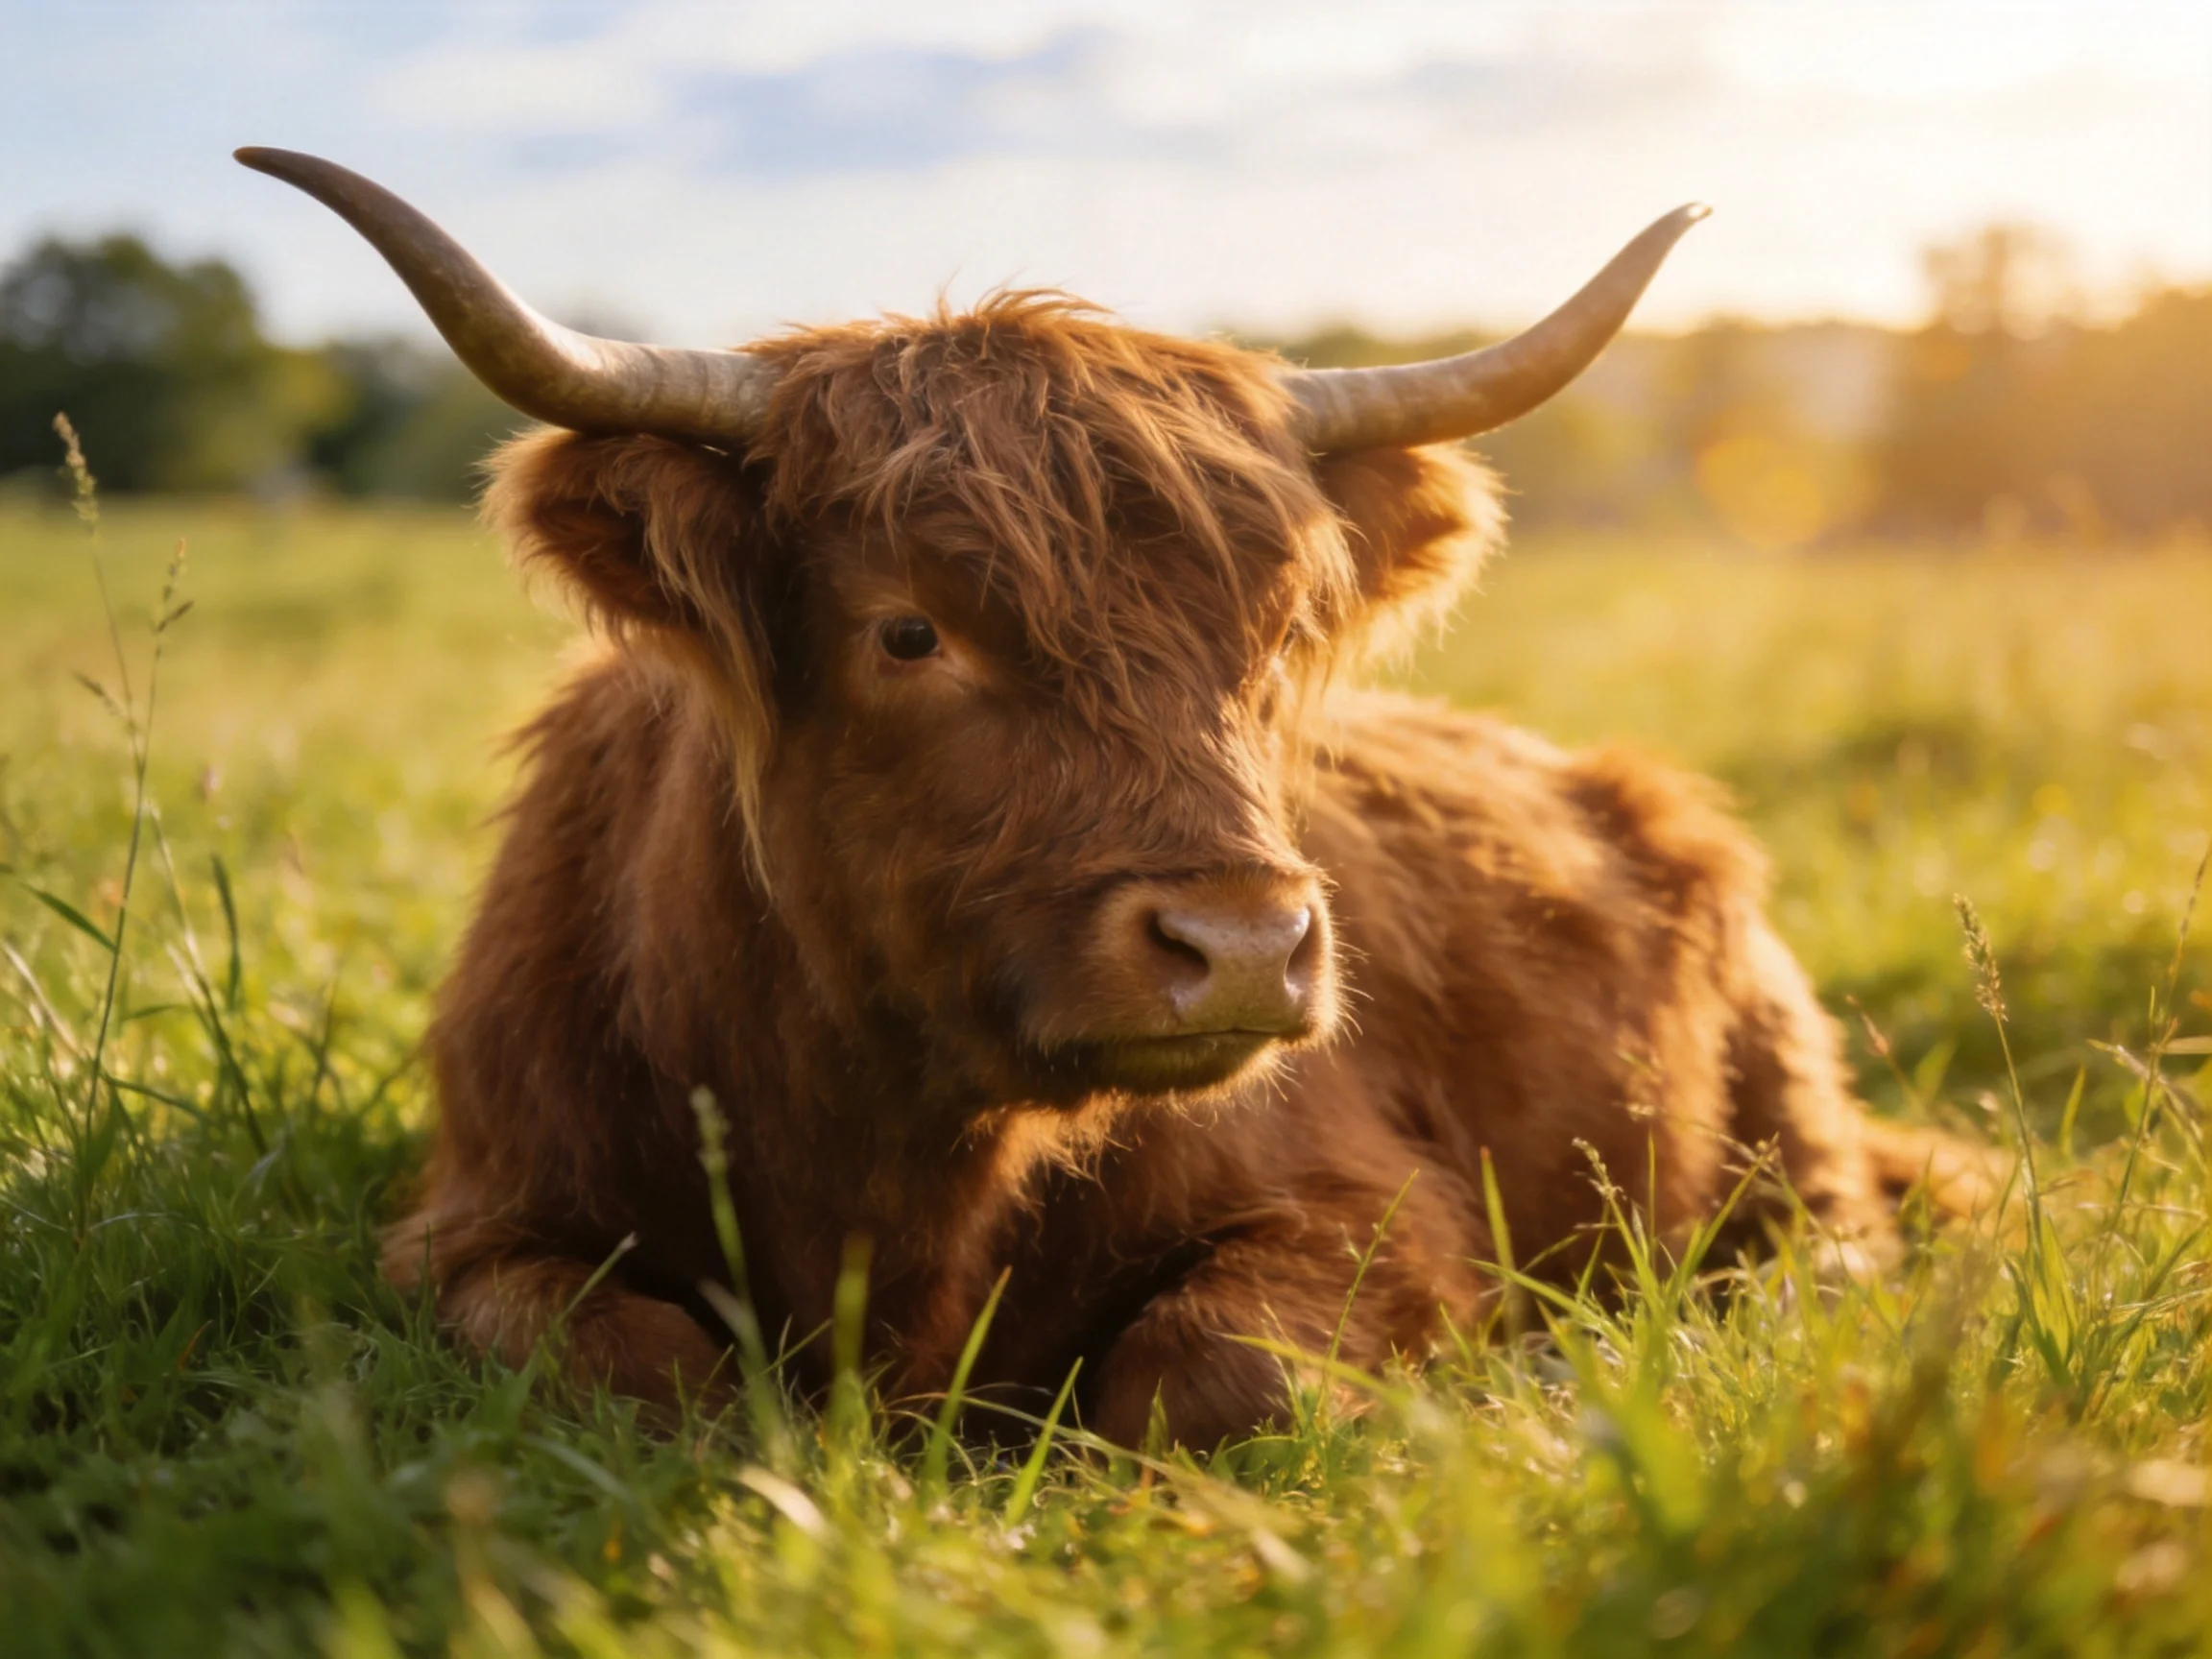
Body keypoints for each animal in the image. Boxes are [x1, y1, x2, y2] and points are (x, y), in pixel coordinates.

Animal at [241, 149, 1987, 1449]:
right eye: (908, 630)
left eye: (1275, 632)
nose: (1241, 946)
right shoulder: (471, 1218)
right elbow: (620, 1363)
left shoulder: (1375, 1210)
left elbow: (1203, 1374)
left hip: (1784, 1116)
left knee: (1831, 1240)